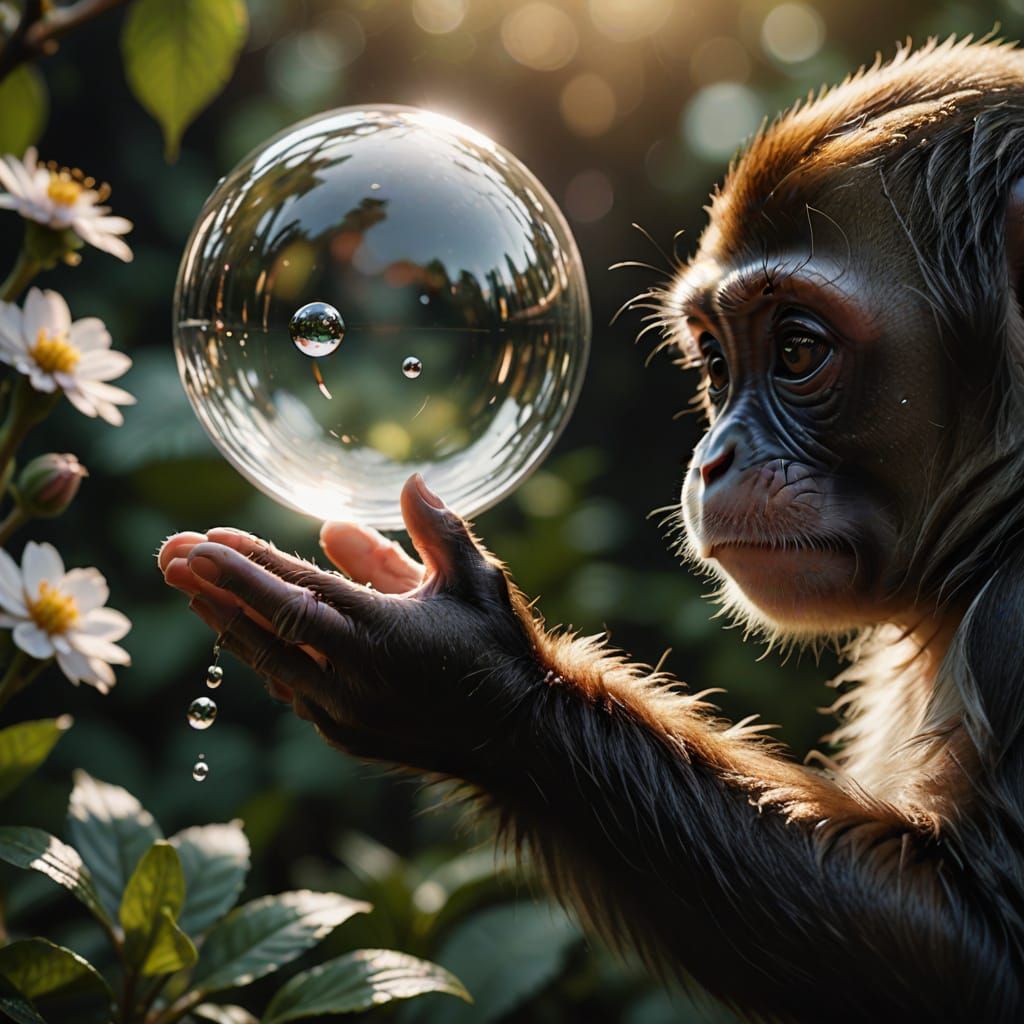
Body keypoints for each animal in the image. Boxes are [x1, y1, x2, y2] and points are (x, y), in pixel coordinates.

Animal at [160, 37, 1024, 1022]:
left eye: (799, 350)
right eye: (716, 361)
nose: (714, 458)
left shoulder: (1011, 626)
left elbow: (973, 955)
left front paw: (478, 688)